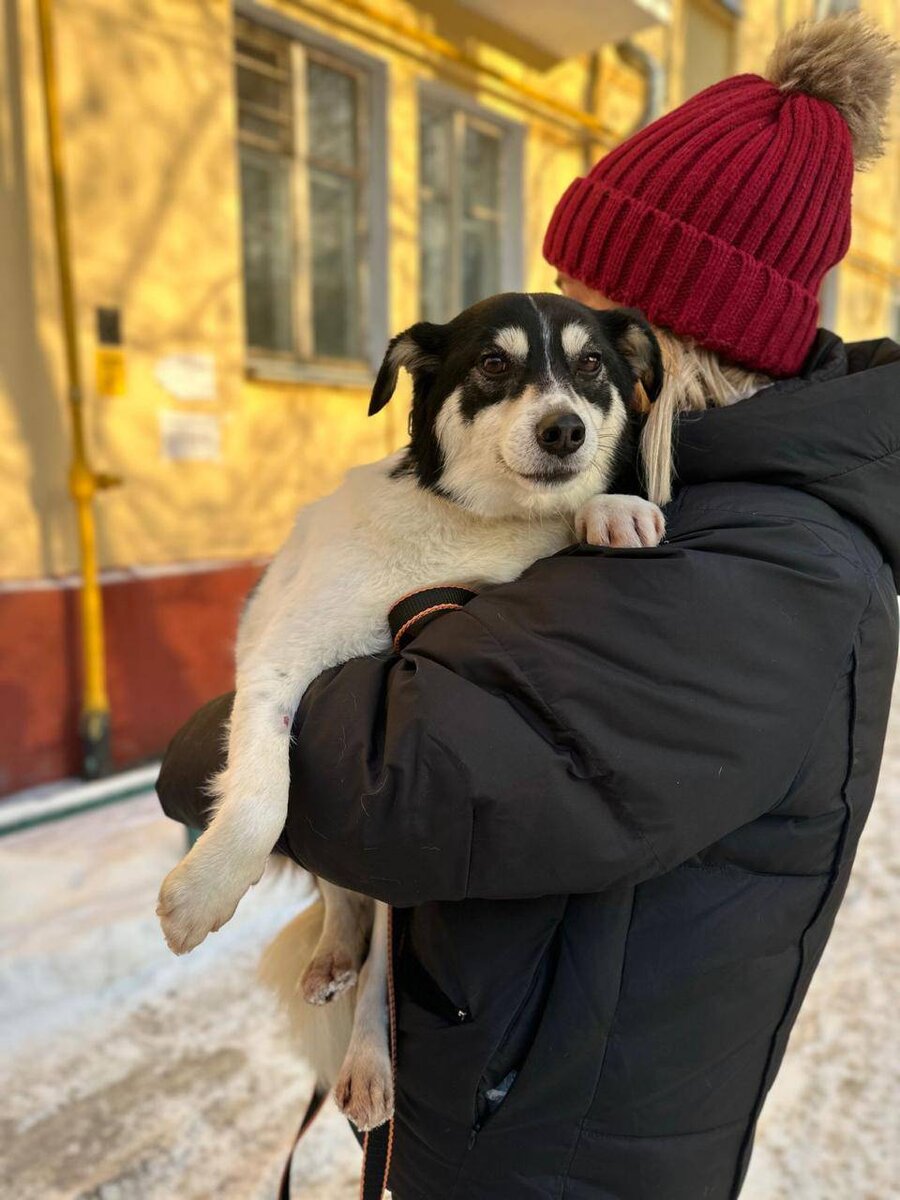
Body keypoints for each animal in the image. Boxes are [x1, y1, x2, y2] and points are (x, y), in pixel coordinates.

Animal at [154, 292, 667, 1132]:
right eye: (493, 362)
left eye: (592, 363)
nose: (565, 430)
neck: (468, 532)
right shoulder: (276, 662)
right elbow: (262, 795)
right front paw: (207, 888)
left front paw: (615, 506)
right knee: (347, 905)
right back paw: (333, 955)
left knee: (380, 964)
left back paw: (367, 1060)